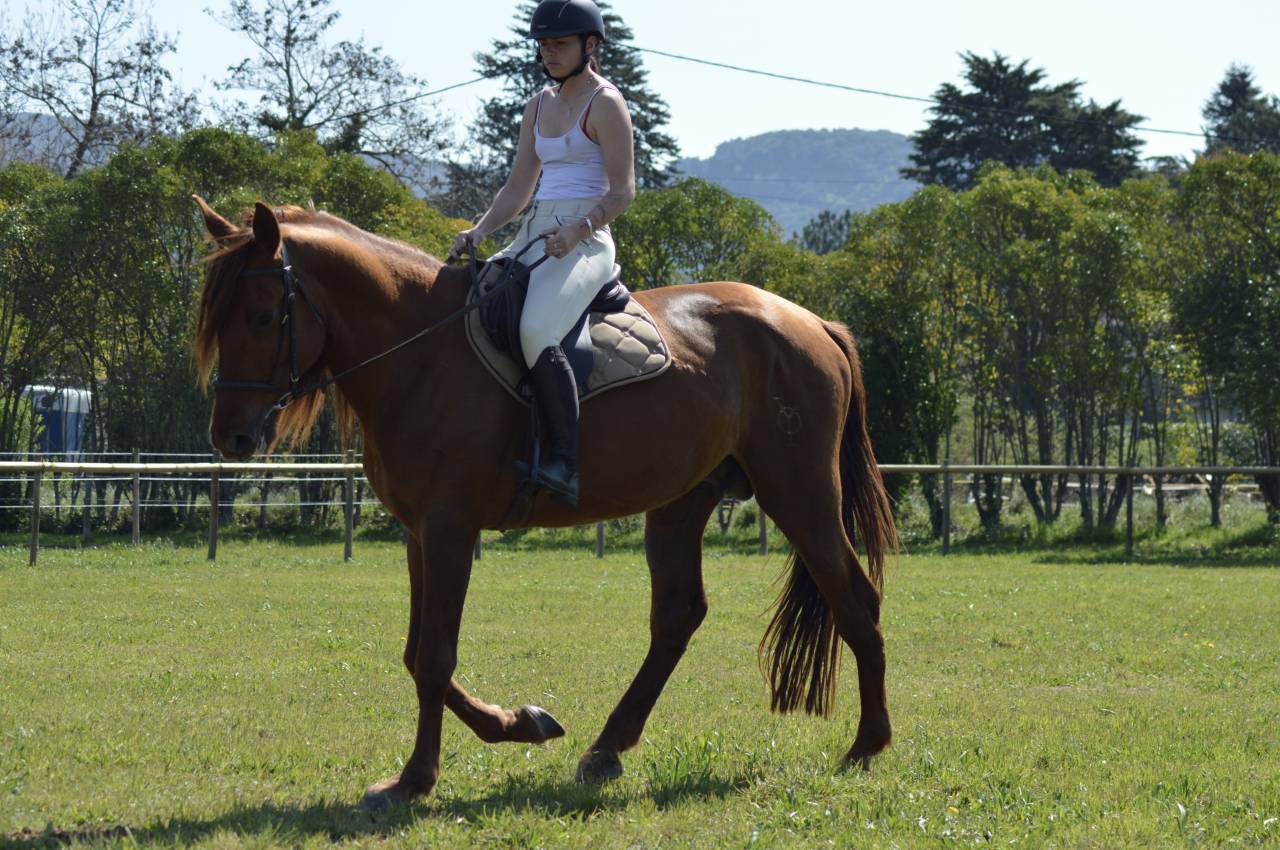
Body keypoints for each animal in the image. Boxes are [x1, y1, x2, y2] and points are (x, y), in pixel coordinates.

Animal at [193, 198, 898, 810]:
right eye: (215, 320)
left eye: (263, 316)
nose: (229, 437)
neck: (421, 351)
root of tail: (811, 322)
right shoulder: (420, 532)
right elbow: (418, 653)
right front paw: (521, 722)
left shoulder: (449, 529)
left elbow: (434, 657)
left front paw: (415, 779)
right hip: (682, 501)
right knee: (678, 615)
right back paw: (607, 749)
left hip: (799, 493)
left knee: (855, 599)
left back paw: (867, 745)